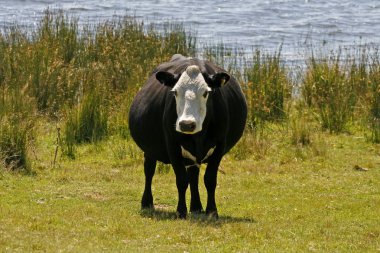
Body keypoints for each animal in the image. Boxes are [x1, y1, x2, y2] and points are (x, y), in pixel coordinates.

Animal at [129, 53, 248, 219]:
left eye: (206, 92)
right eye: (175, 92)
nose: (187, 124)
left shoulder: (220, 145)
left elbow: (209, 179)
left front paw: (212, 211)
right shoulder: (172, 145)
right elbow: (181, 180)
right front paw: (181, 211)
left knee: (193, 175)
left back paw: (196, 207)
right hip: (149, 149)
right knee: (149, 171)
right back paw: (147, 203)